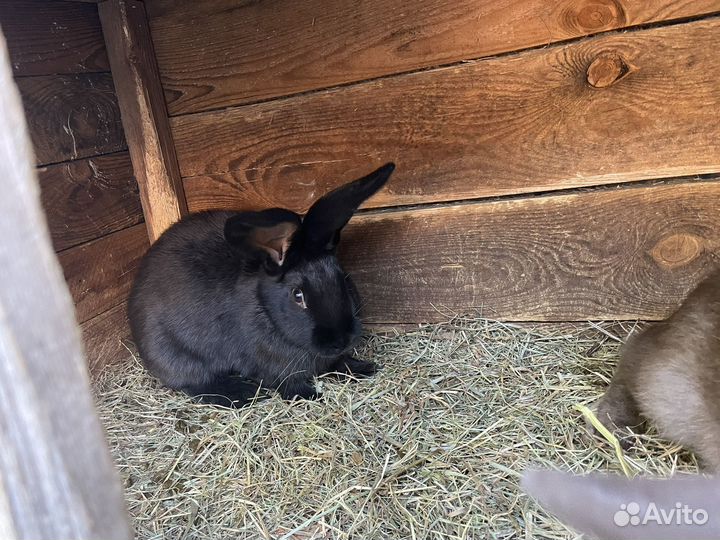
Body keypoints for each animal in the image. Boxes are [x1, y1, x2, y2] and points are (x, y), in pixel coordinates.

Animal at [128, 163, 395, 407]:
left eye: (343, 278)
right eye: (298, 295)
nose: (342, 339)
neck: (267, 311)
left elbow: (339, 363)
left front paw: (363, 367)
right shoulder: (271, 366)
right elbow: (287, 382)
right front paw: (309, 395)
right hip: (177, 356)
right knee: (194, 384)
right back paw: (240, 393)